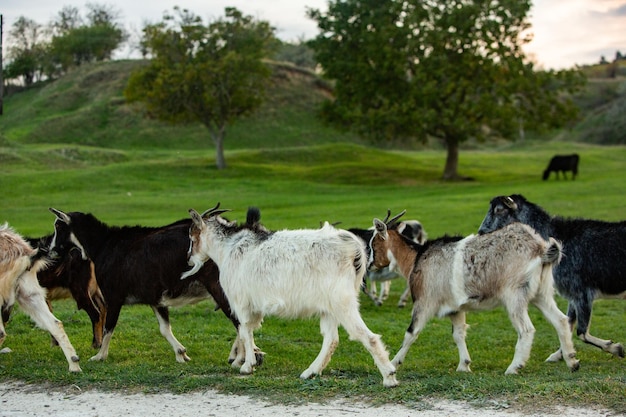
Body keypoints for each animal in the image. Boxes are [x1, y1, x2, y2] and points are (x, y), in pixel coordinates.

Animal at [47, 208, 260, 364]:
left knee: (240, 321)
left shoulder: (113, 296)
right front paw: (181, 353)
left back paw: (245, 356)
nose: (51, 251)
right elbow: (164, 328)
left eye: (58, 226)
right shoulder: (155, 298)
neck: (103, 246)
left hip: (219, 288)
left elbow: (109, 326)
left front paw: (99, 356)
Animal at [180, 204, 398, 386]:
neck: (229, 247)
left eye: (192, 236)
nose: (189, 259)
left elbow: (245, 330)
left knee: (367, 337)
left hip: (342, 302)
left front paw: (247, 365)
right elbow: (248, 329)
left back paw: (389, 377)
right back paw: (310, 372)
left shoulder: (241, 302)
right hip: (329, 307)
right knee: (331, 339)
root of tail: (353, 249)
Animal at [368, 211, 576, 374]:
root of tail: (540, 249)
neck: (416, 258)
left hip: (514, 294)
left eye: (374, 244)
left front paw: (393, 363)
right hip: (542, 293)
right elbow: (459, 334)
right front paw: (464, 365)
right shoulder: (455, 308)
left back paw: (514, 367)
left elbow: (411, 333)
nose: (369, 265)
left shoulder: (425, 302)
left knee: (526, 329)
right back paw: (572, 360)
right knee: (560, 320)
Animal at [476, 193, 620, 360]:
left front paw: (616, 348)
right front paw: (561, 355)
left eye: (499, 210)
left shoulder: (581, 292)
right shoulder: (574, 296)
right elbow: (568, 323)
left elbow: (581, 332)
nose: (481, 232)